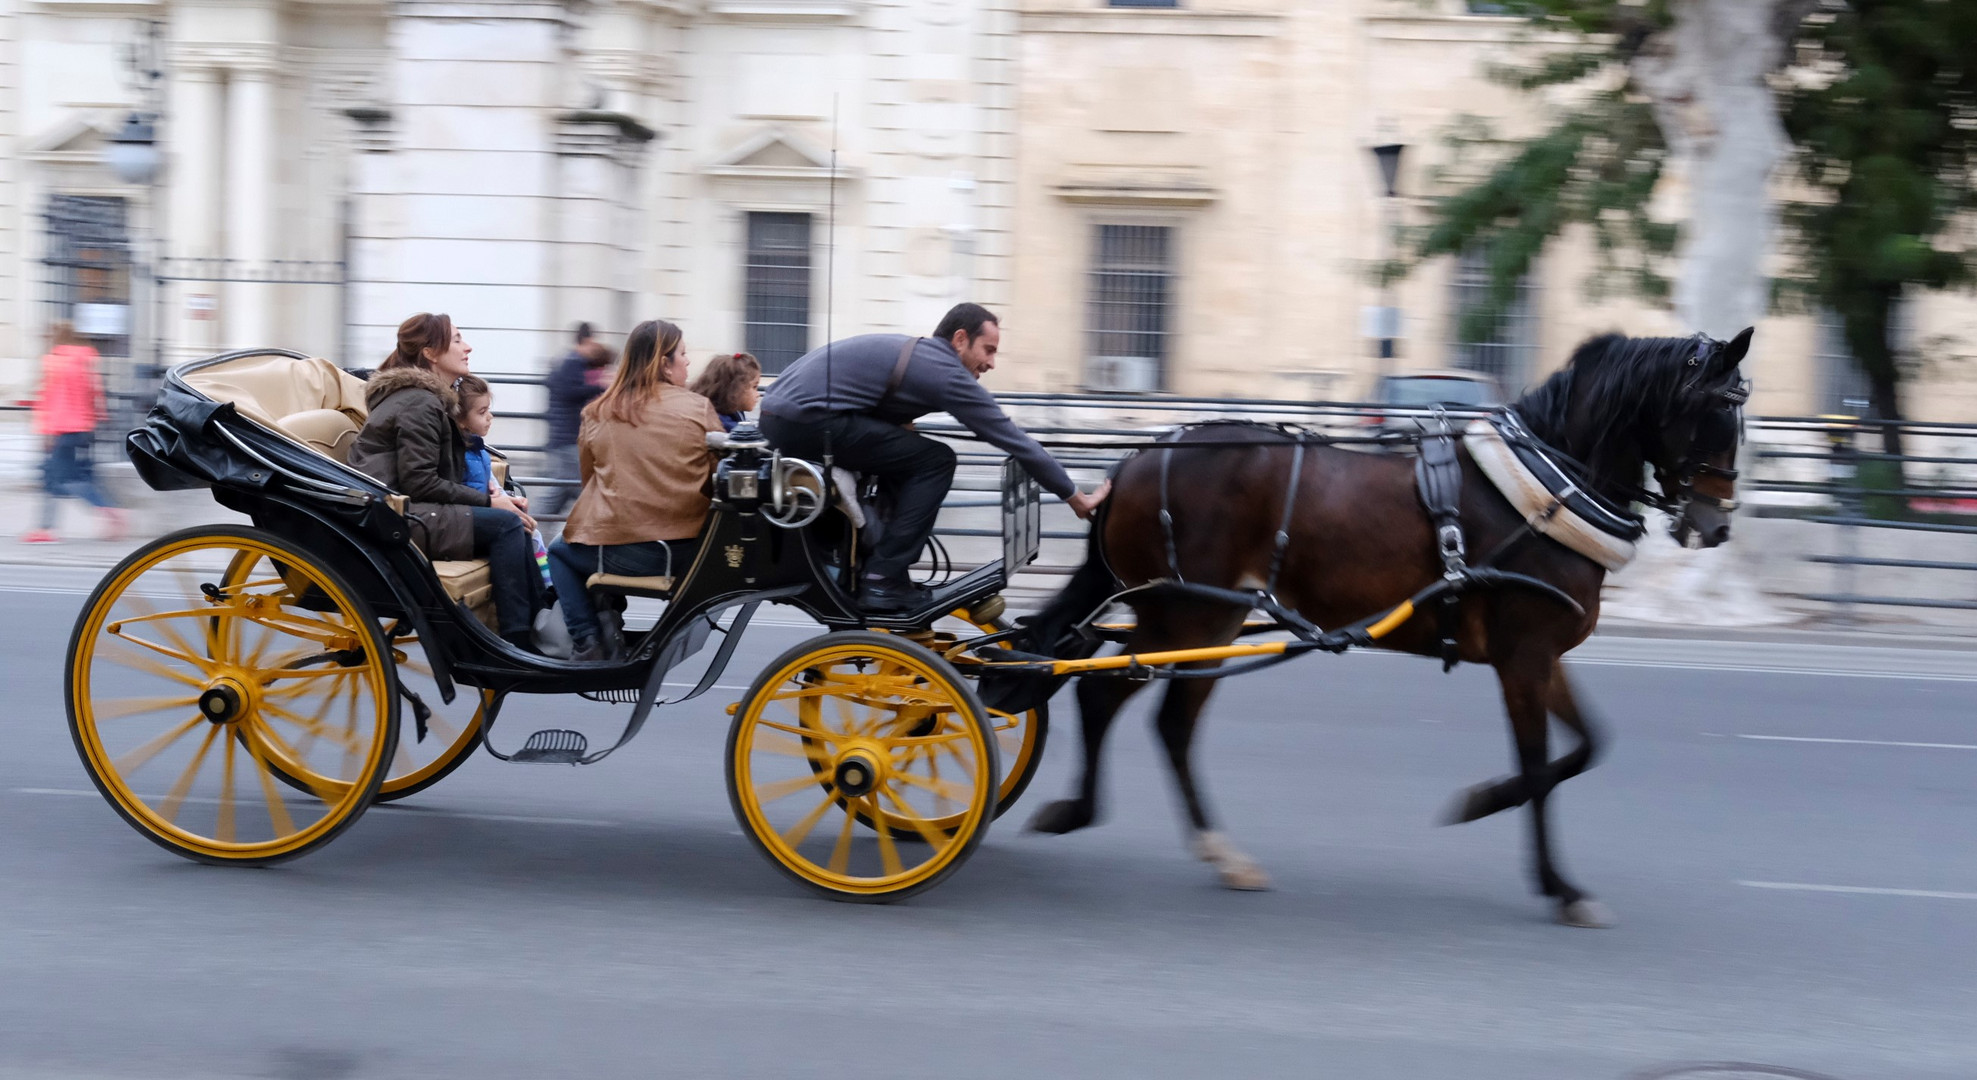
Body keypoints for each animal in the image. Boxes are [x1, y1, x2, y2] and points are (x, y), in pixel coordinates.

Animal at [1020, 330, 1747, 925]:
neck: (1546, 491)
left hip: (1209, 619)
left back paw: (1218, 852)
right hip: (1185, 615)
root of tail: (1135, 460)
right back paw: (1081, 812)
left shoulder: (1542, 658)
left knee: (1168, 723)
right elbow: (1540, 766)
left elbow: (1586, 747)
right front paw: (1557, 884)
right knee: (1102, 696)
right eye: (1713, 414)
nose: (1717, 526)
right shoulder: (1523, 656)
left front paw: (1485, 800)